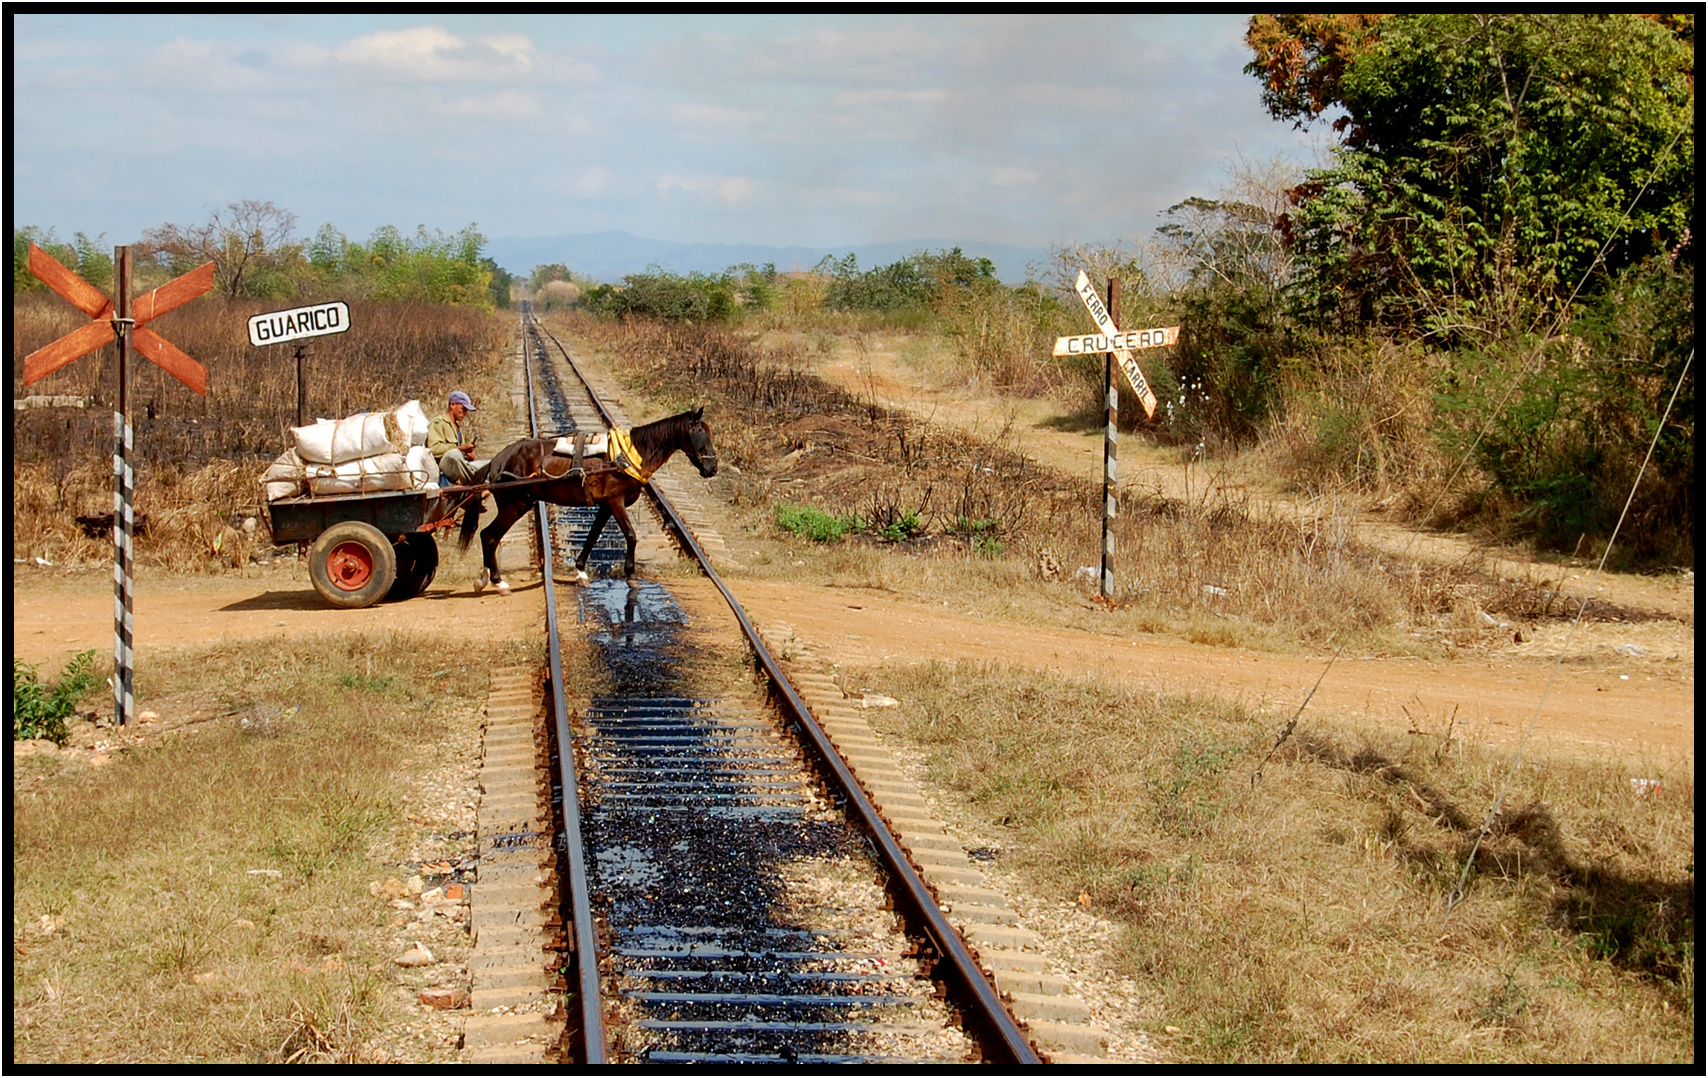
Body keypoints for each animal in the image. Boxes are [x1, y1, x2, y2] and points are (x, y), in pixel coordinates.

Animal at [457, 406, 717, 594]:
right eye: (700, 433)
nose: (712, 468)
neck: (628, 454)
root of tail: (497, 460)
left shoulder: (605, 505)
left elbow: (592, 536)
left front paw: (581, 572)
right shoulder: (615, 501)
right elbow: (631, 536)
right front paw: (631, 575)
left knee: (487, 536)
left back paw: (483, 579)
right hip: (515, 505)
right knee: (489, 537)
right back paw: (497, 581)